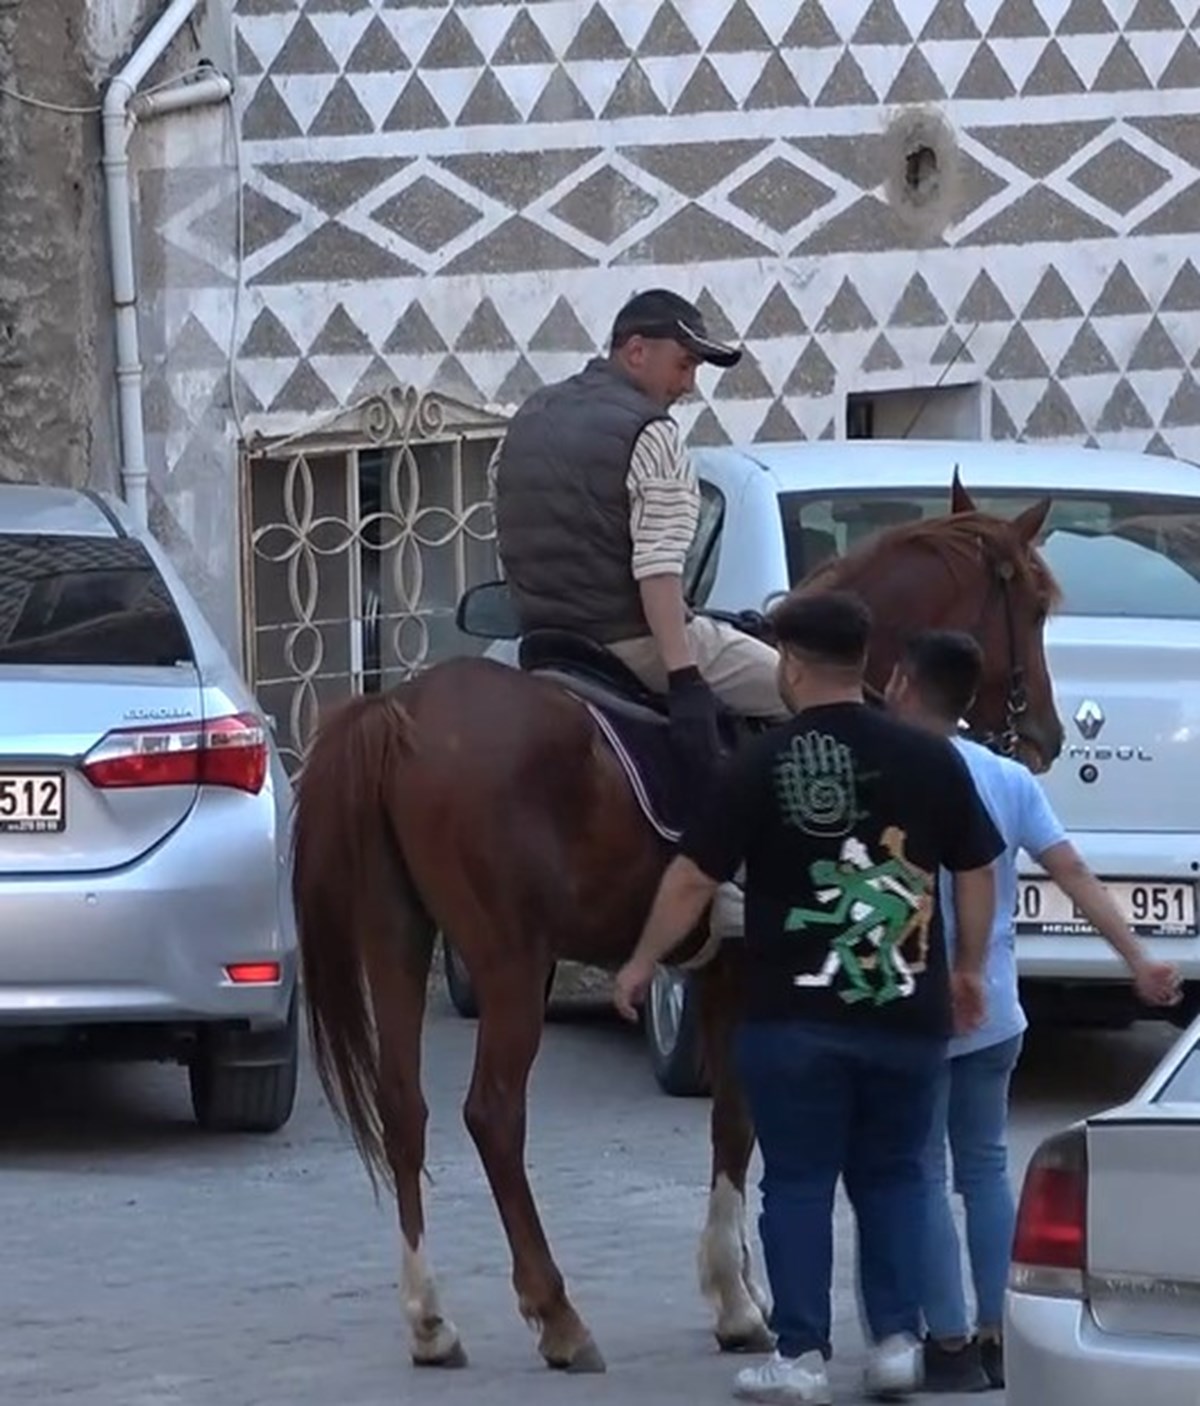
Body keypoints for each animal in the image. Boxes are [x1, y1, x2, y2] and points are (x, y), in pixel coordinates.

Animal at [288, 472, 1057, 1372]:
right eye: (1034, 605)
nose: (1047, 734)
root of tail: (401, 713)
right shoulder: (750, 979)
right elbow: (739, 1124)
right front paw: (738, 1297)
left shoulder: (723, 977)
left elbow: (742, 1122)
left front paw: (745, 1285)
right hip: (512, 962)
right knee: (493, 1114)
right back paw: (556, 1313)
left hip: (397, 944)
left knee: (404, 1107)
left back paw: (429, 1318)